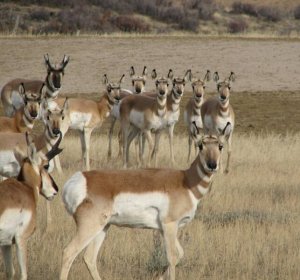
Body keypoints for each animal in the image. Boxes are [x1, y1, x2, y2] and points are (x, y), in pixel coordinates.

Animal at [0, 132, 61, 280]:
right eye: (46, 165)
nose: (55, 190)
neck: (26, 187)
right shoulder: (21, 240)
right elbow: (23, 274)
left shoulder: (6, 244)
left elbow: (10, 272)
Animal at [59, 122, 232, 280]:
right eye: (200, 145)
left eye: (220, 146)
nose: (212, 165)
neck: (186, 181)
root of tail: (79, 179)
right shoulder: (170, 225)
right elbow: (172, 257)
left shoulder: (165, 228)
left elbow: (180, 254)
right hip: (90, 227)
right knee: (68, 252)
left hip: (103, 227)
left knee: (89, 258)